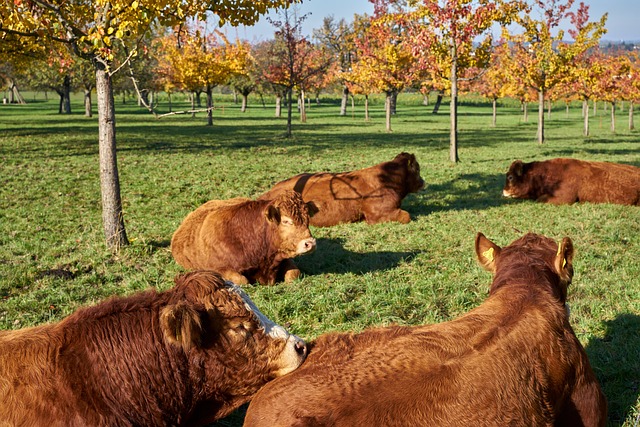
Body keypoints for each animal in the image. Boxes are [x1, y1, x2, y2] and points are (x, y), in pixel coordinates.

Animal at [171, 191, 316, 286]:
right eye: (286, 221)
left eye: (307, 218)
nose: (309, 243)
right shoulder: (216, 269)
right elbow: (242, 280)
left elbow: (294, 273)